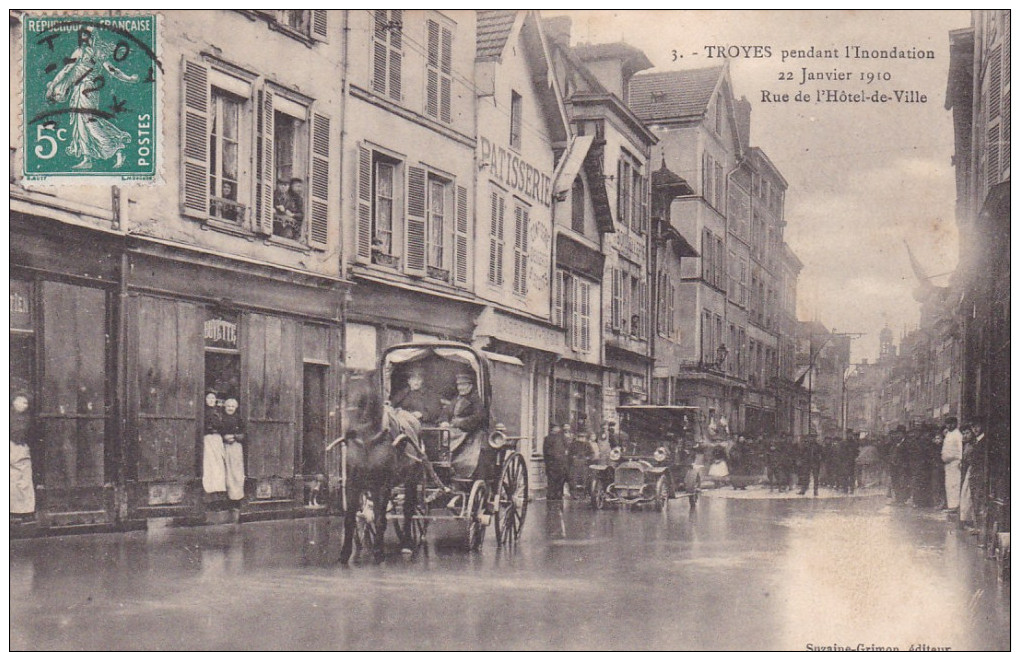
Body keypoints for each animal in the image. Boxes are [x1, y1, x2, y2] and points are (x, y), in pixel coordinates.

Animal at [340, 387, 424, 567]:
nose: (350, 433)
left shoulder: (383, 485)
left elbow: (380, 519)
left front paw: (379, 553)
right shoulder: (353, 484)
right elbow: (350, 518)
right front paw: (345, 553)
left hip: (412, 479)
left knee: (408, 509)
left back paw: (407, 543)